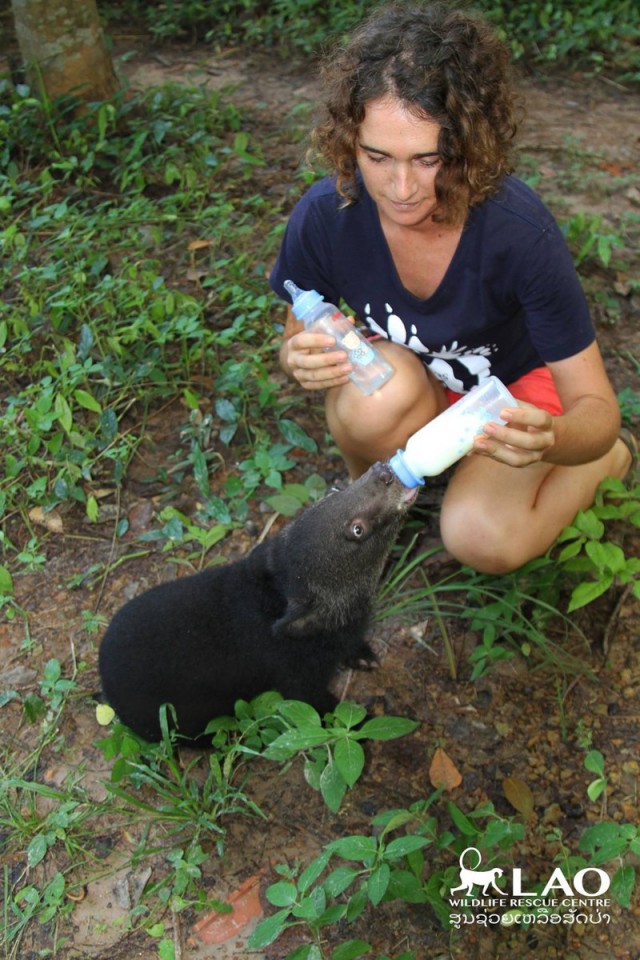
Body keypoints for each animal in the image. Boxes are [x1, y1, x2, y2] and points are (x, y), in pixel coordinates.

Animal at [97, 464, 412, 744]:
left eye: (335, 489)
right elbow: (314, 706)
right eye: (358, 530)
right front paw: (365, 723)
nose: (383, 471)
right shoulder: (293, 672)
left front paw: (363, 655)